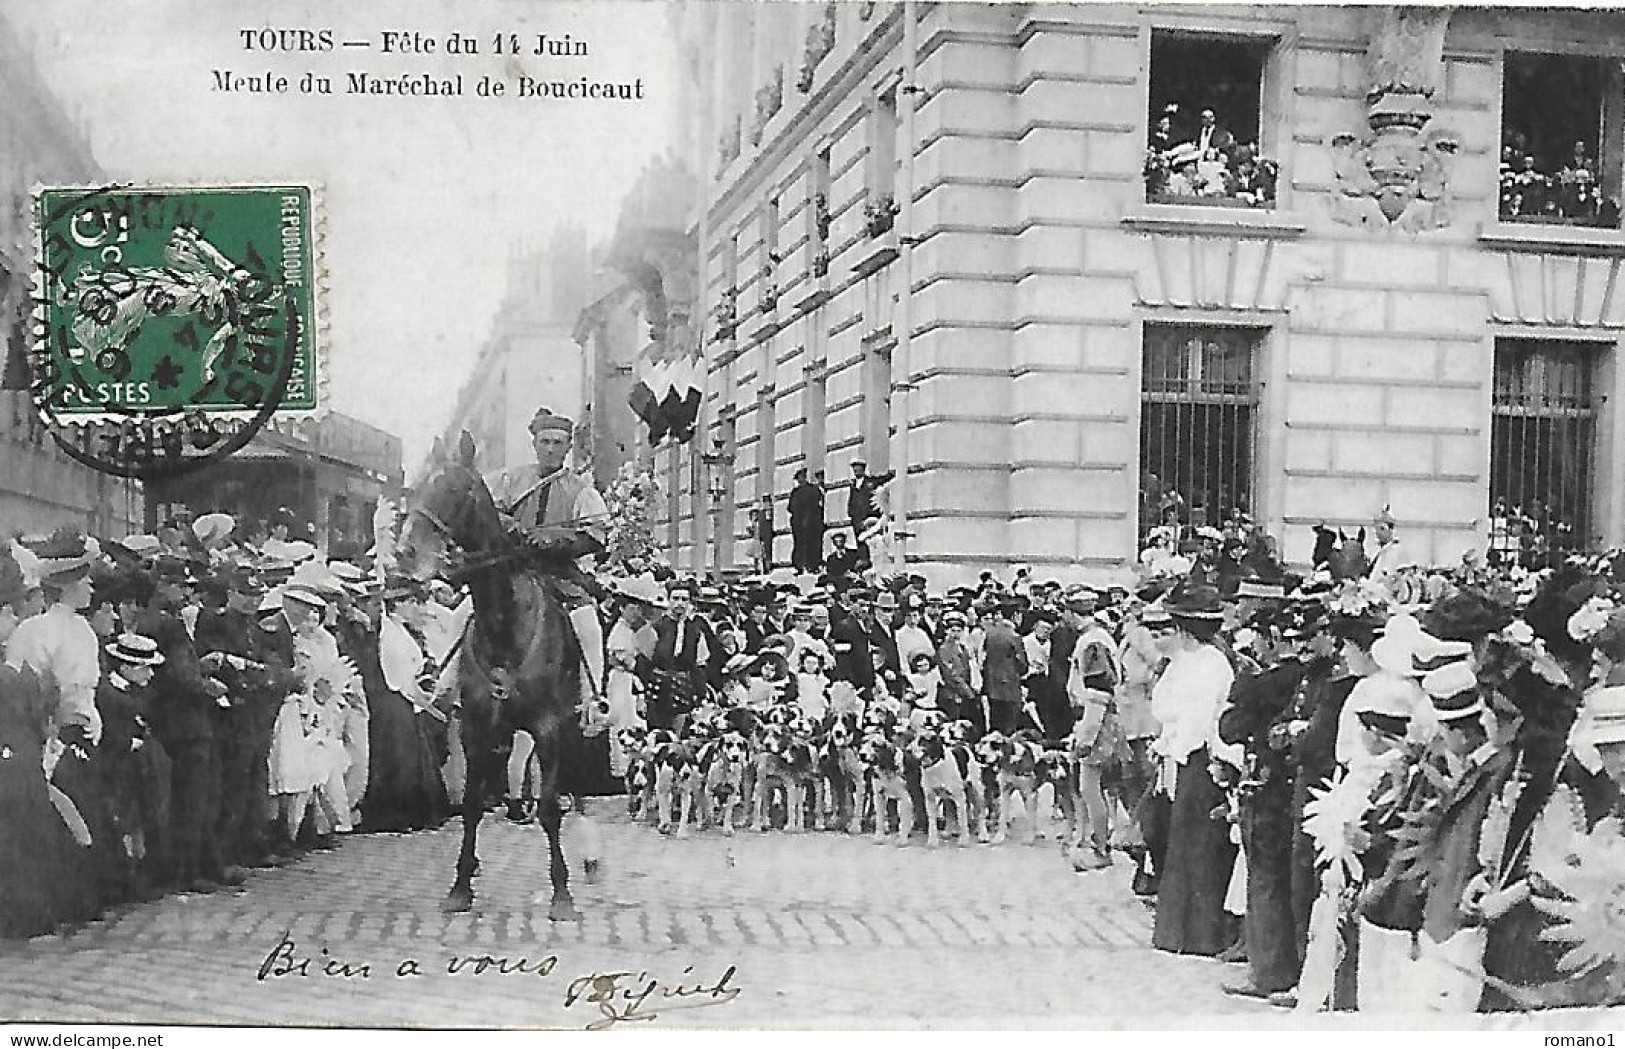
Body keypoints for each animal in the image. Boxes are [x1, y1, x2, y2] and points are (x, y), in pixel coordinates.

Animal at [399, 435, 585, 922]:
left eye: (456, 490)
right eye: (417, 486)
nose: (407, 552)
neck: (504, 622)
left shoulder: (548, 727)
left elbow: (549, 809)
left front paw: (562, 893)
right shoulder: (475, 727)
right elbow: (470, 805)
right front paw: (461, 885)